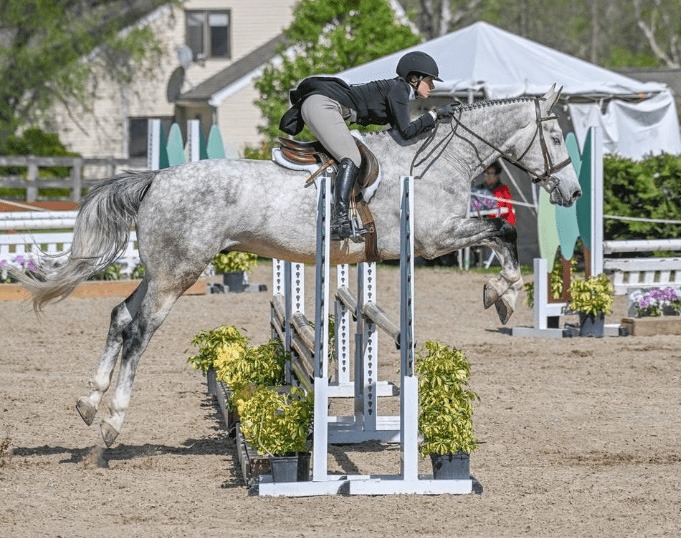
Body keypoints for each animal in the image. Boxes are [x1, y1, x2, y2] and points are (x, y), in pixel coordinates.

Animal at [15, 85, 580, 444]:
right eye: (555, 137)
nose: (572, 192)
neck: (440, 160)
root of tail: (156, 178)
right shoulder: (433, 239)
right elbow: (502, 232)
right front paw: (504, 295)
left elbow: (500, 233)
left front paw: (501, 295)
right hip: (179, 273)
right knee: (139, 332)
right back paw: (113, 422)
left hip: (163, 270)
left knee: (120, 316)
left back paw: (88, 404)